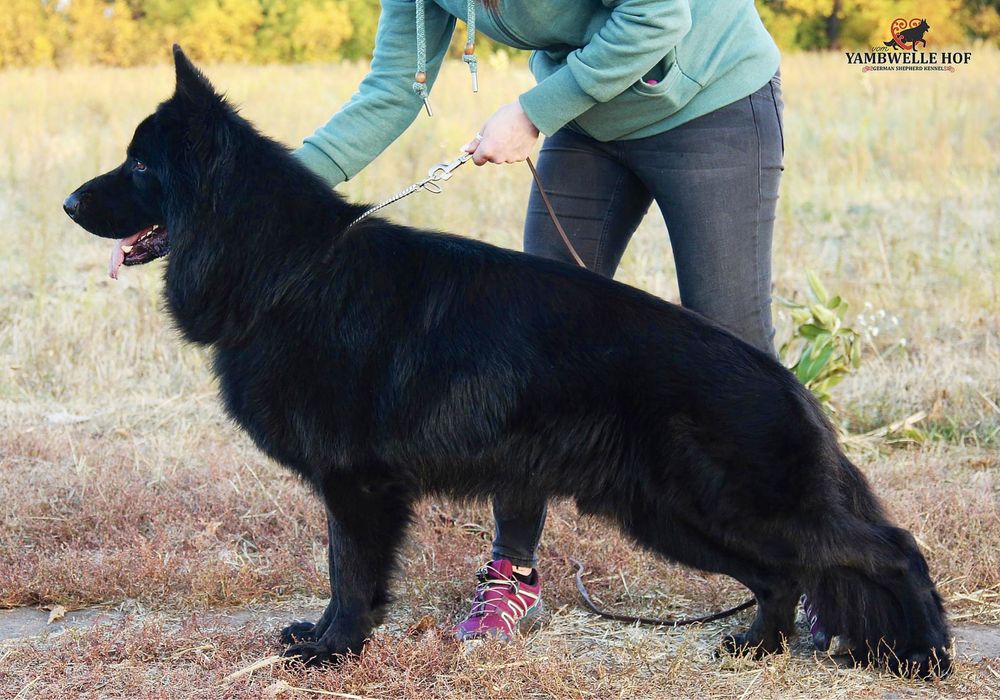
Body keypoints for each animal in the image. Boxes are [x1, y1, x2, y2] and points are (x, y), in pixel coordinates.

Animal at [64, 47, 952, 680]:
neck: (286, 268)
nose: (68, 203)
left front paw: (335, 650)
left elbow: (349, 571)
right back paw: (759, 647)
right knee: (780, 576)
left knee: (887, 546)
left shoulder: (357, 486)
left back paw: (926, 653)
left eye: (140, 167)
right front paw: (325, 639)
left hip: (738, 505)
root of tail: (788, 385)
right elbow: (342, 570)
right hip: (675, 515)